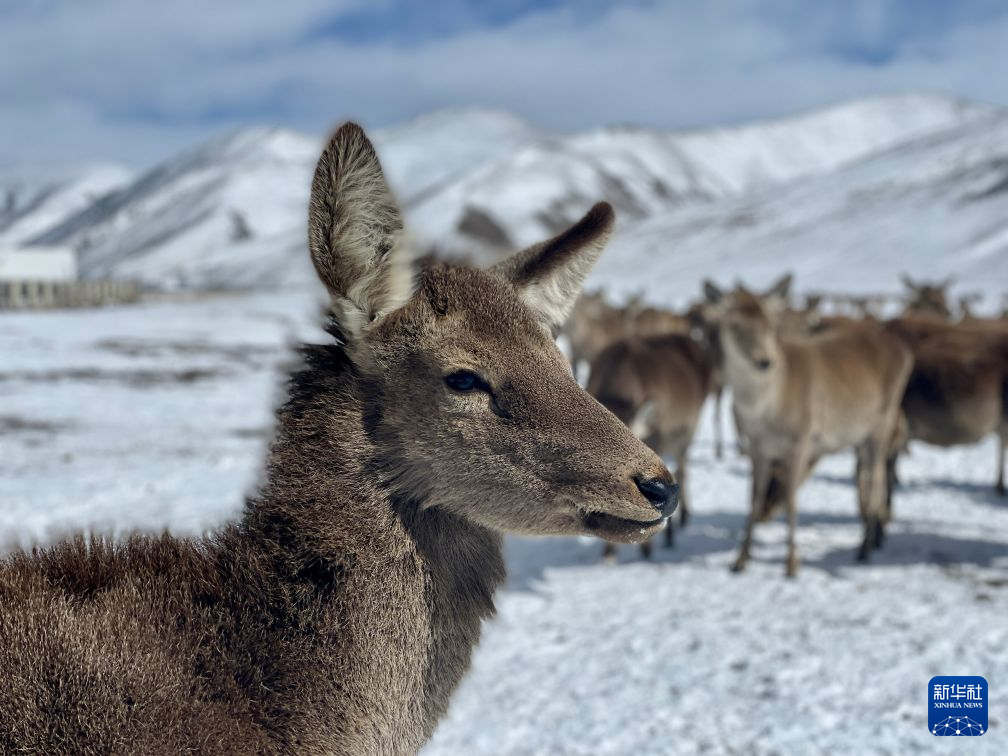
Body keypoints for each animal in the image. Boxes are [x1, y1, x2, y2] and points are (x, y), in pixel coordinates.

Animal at [710, 286, 912, 577]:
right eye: (734, 326)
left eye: (770, 324)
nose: (764, 361)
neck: (766, 413)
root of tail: (904, 350)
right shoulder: (757, 447)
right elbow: (753, 499)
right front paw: (740, 560)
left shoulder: (801, 441)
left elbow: (792, 501)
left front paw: (792, 563)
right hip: (862, 435)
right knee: (872, 475)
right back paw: (872, 539)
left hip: (883, 421)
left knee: (876, 478)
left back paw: (864, 547)